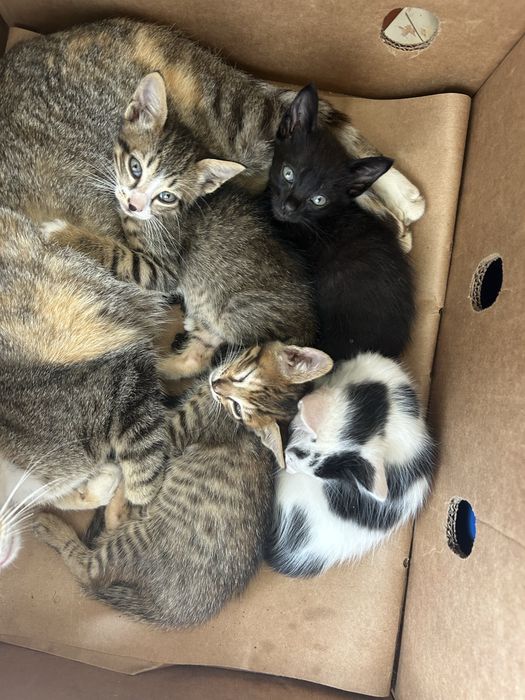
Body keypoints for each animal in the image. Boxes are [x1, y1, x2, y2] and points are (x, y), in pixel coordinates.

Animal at [33, 342, 333, 628]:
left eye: (238, 408)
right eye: (243, 378)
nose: (216, 384)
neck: (226, 414)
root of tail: (172, 612)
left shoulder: (170, 433)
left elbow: (135, 448)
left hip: (137, 541)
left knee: (90, 570)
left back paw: (56, 526)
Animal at [45, 73, 317, 380]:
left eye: (167, 196)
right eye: (135, 167)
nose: (134, 205)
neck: (165, 214)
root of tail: (309, 328)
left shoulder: (164, 269)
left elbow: (119, 255)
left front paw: (63, 232)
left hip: (234, 311)